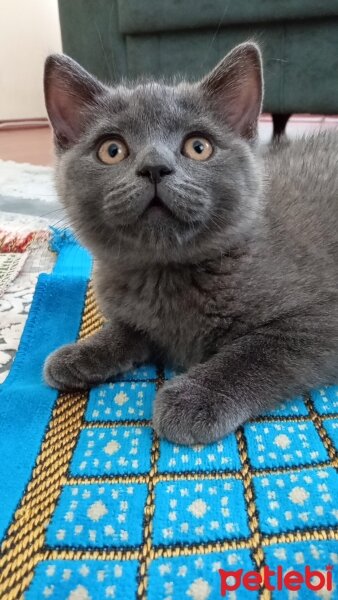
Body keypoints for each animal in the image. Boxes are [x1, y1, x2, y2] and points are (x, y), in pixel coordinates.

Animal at [43, 42, 338, 442]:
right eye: (112, 150)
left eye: (199, 147)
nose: (154, 167)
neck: (164, 273)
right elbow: (128, 329)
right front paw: (81, 353)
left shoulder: (319, 319)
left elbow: (256, 350)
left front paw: (195, 398)